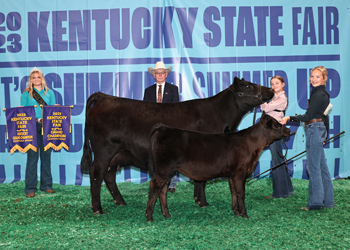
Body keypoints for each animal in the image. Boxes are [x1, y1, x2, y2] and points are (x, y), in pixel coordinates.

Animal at [80, 77, 274, 214]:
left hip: (117, 154)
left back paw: (120, 202)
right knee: (97, 174)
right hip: (104, 151)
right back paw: (97, 208)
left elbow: (200, 179)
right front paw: (203, 202)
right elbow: (202, 180)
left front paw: (198, 200)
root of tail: (104, 97)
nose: (271, 89)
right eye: (247, 86)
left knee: (109, 175)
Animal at [146, 112, 292, 222]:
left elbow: (233, 192)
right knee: (154, 186)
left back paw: (166, 214)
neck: (252, 147)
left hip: (167, 171)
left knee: (162, 190)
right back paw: (149, 216)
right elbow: (241, 193)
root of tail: (163, 128)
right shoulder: (240, 172)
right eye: (276, 125)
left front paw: (235, 212)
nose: (288, 129)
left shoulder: (232, 174)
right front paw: (245, 214)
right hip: (164, 169)